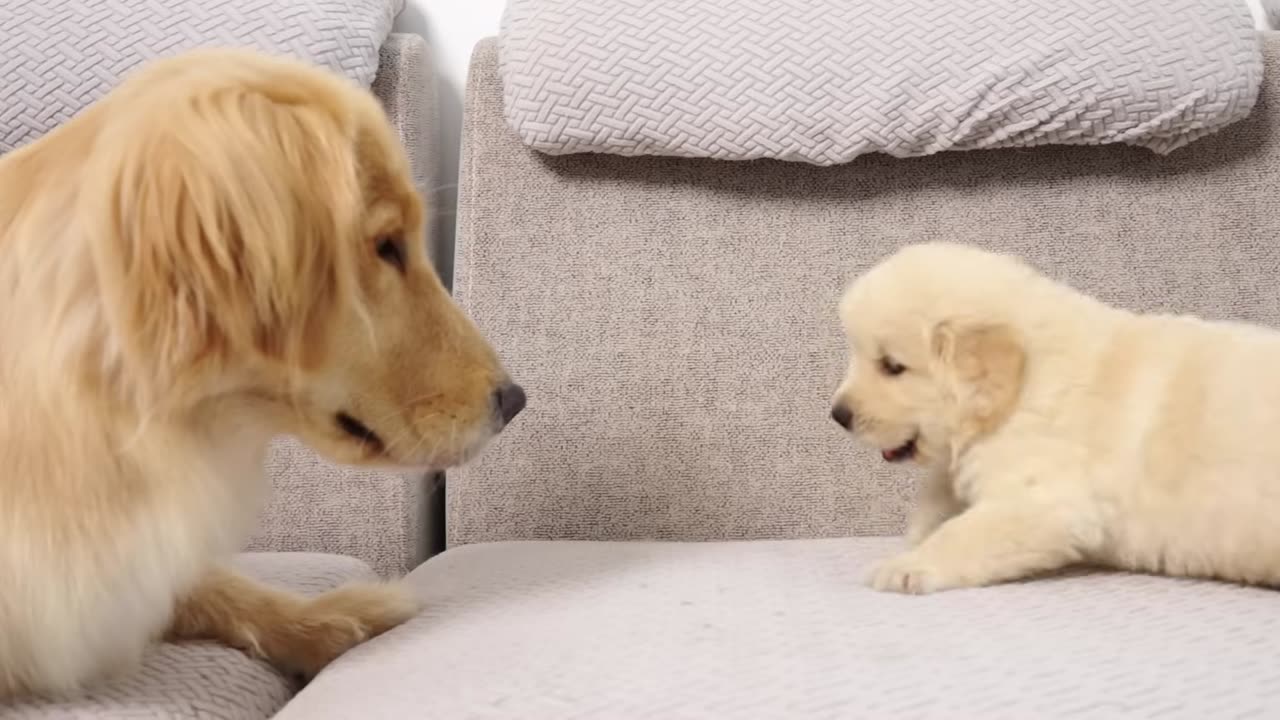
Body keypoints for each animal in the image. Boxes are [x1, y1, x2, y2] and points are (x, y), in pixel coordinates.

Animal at [834, 242, 1280, 594]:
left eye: (892, 367)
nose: (838, 415)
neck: (1022, 387)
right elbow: (938, 500)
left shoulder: (1043, 500)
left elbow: (961, 533)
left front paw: (905, 567)